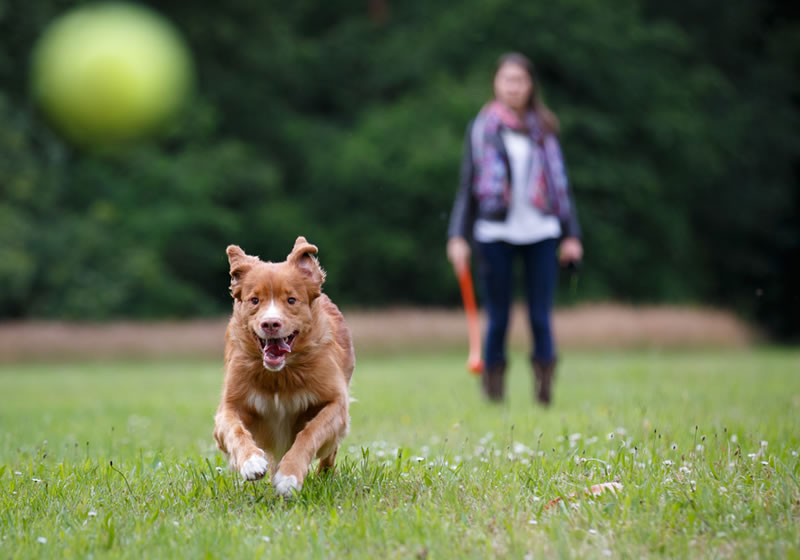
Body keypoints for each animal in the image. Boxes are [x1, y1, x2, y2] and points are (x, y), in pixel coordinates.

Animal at [212, 236, 354, 498]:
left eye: (291, 300)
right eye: (254, 300)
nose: (270, 323)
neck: (281, 375)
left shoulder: (336, 402)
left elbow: (310, 432)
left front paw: (289, 477)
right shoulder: (230, 404)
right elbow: (235, 429)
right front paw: (251, 462)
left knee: (330, 451)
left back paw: (323, 476)